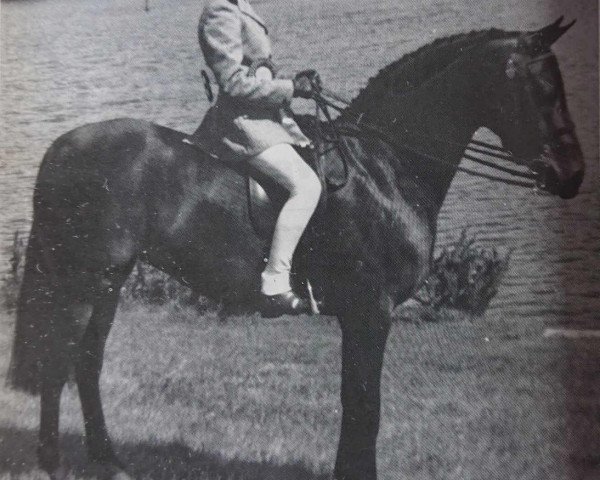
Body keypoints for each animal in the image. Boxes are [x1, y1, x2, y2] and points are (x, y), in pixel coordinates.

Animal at [7, 17, 584, 480]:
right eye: (539, 89)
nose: (574, 174)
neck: (384, 166)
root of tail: (63, 146)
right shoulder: (370, 310)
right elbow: (365, 406)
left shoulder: (364, 314)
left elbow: (357, 403)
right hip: (85, 280)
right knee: (59, 360)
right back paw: (54, 463)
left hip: (109, 281)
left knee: (87, 362)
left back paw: (107, 461)